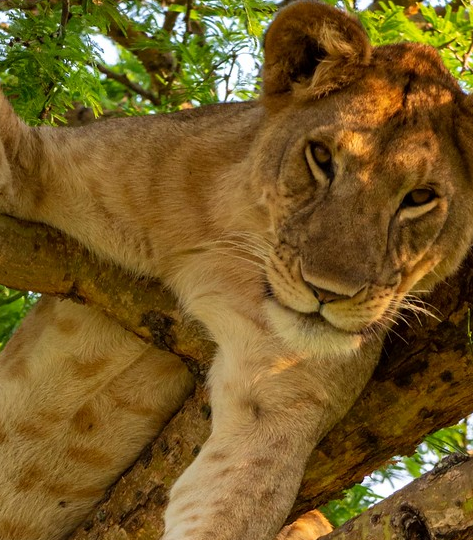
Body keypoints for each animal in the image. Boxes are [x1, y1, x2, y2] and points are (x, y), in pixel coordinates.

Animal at [0, 0, 470, 536]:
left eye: (419, 197)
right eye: (321, 157)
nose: (327, 292)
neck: (234, 246)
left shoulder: (277, 403)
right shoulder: (35, 164)